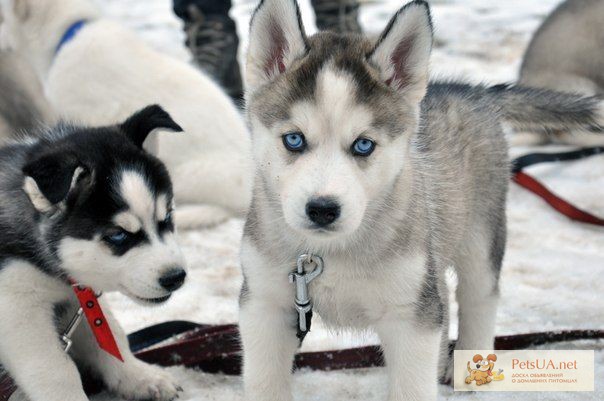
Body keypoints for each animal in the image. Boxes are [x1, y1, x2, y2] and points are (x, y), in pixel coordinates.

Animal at [0, 105, 186, 400]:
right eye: (118, 235)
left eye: (166, 218)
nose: (176, 277)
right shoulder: (16, 303)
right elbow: (56, 369)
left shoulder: (80, 300)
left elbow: (112, 337)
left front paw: (141, 376)